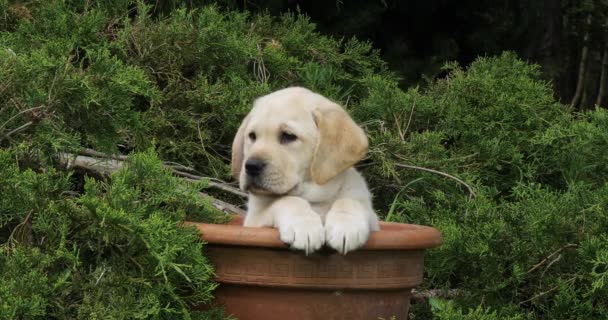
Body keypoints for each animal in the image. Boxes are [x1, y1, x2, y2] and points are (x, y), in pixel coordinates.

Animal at [230, 86, 378, 254]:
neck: (315, 198)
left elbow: (350, 201)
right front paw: (304, 227)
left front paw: (346, 226)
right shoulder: (254, 221)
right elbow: (287, 200)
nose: (251, 166)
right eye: (252, 136)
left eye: (288, 136)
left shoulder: (374, 219)